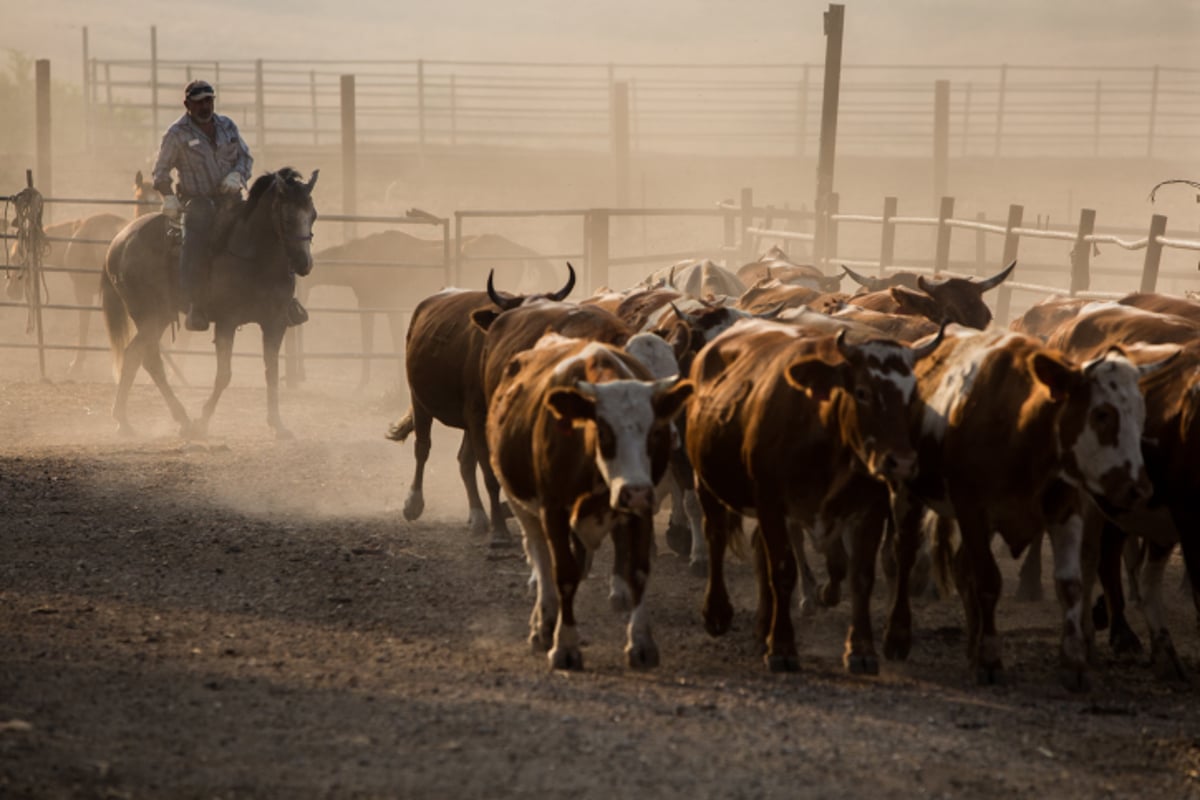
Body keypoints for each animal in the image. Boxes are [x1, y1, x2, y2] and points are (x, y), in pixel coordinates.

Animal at [487, 333, 696, 671]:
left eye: (654, 431)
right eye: (604, 431)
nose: (634, 490)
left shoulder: (642, 508)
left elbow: (638, 570)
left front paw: (641, 644)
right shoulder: (553, 509)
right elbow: (563, 574)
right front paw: (565, 646)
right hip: (522, 505)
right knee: (540, 556)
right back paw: (544, 624)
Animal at [686, 319, 936, 676]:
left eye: (911, 397)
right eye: (862, 391)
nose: (901, 462)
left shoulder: (869, 509)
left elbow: (861, 575)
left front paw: (861, 650)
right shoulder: (772, 502)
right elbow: (783, 571)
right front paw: (782, 648)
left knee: (758, 550)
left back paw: (761, 629)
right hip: (706, 482)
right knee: (716, 536)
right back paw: (718, 613)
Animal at [883, 326, 1161, 690]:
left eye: (1141, 415)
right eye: (1102, 414)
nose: (1138, 489)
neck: (1022, 427)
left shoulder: (1064, 509)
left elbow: (1070, 585)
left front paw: (1074, 663)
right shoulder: (972, 509)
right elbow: (988, 581)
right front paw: (990, 658)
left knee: (961, 567)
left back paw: (971, 645)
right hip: (905, 491)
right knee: (904, 555)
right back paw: (898, 636)